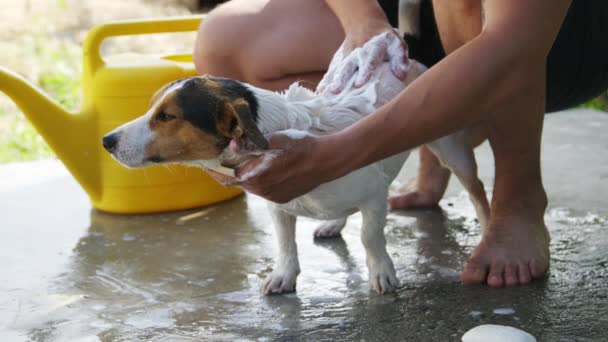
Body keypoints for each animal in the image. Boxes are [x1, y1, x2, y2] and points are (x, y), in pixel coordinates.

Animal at [101, 50, 490, 294]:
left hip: (453, 150)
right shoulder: (277, 206)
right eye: (152, 107)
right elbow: (286, 243)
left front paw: (382, 272)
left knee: (477, 191)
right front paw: (283, 276)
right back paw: (333, 223)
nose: (106, 140)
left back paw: (488, 231)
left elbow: (370, 236)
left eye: (167, 116)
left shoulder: (374, 195)